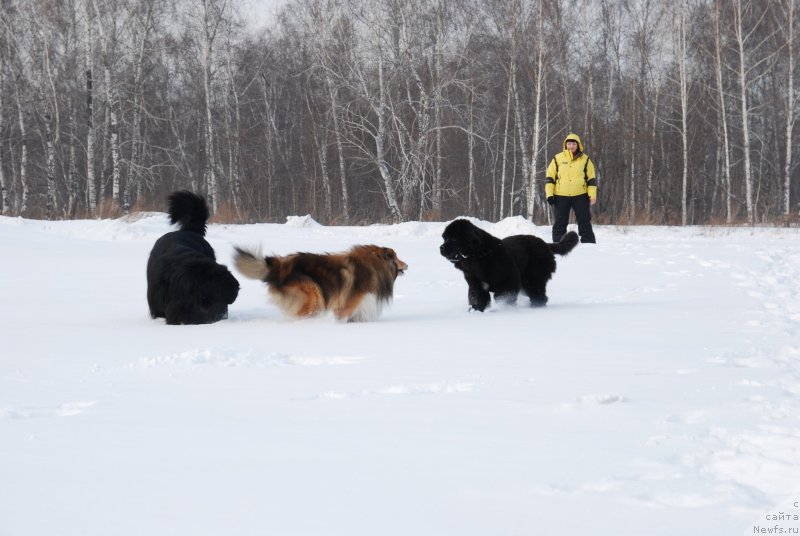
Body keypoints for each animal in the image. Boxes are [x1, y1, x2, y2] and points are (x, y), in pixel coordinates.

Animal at [440, 218, 580, 310]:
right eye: (445, 238)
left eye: (454, 239)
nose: (441, 248)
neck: (480, 255)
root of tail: (545, 244)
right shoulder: (476, 284)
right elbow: (478, 296)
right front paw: (477, 309)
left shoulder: (509, 281)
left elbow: (503, 296)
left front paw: (504, 308)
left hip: (532, 278)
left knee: (538, 293)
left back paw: (536, 307)